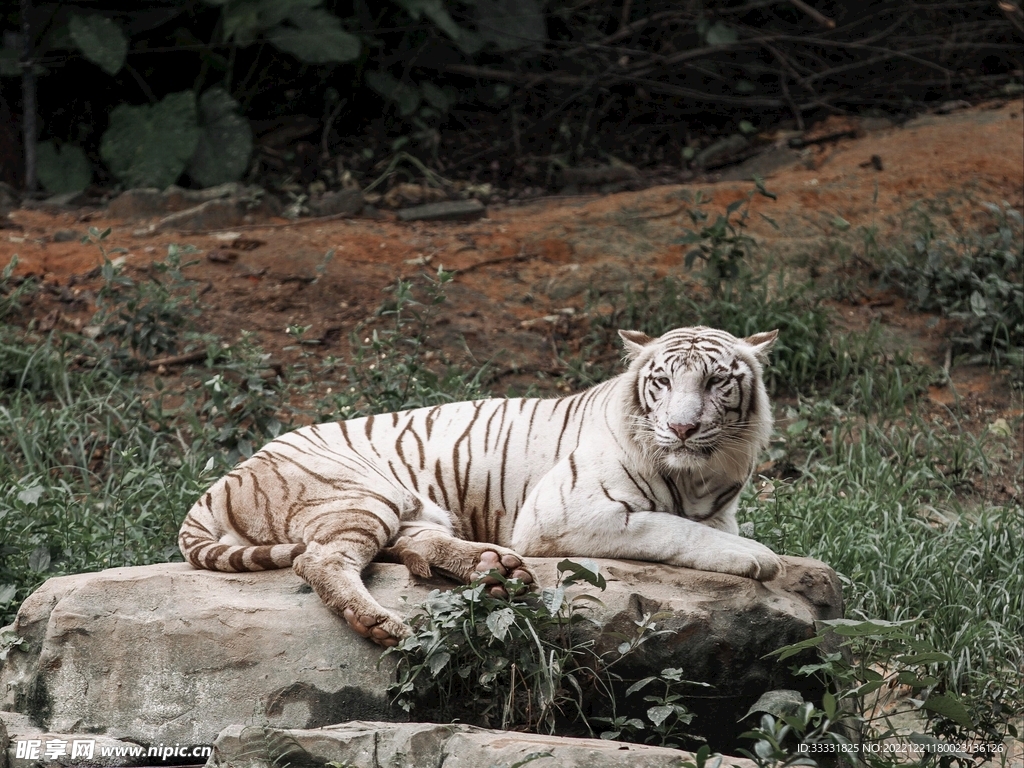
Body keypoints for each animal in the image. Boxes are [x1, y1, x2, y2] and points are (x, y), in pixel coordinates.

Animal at [179, 325, 784, 647]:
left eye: (717, 381)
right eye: (662, 382)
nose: (681, 428)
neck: (698, 472)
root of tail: (221, 482)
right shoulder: (565, 512)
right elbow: (673, 528)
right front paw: (758, 557)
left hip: (414, 508)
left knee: (411, 545)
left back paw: (493, 569)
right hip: (360, 493)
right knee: (320, 558)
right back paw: (380, 621)